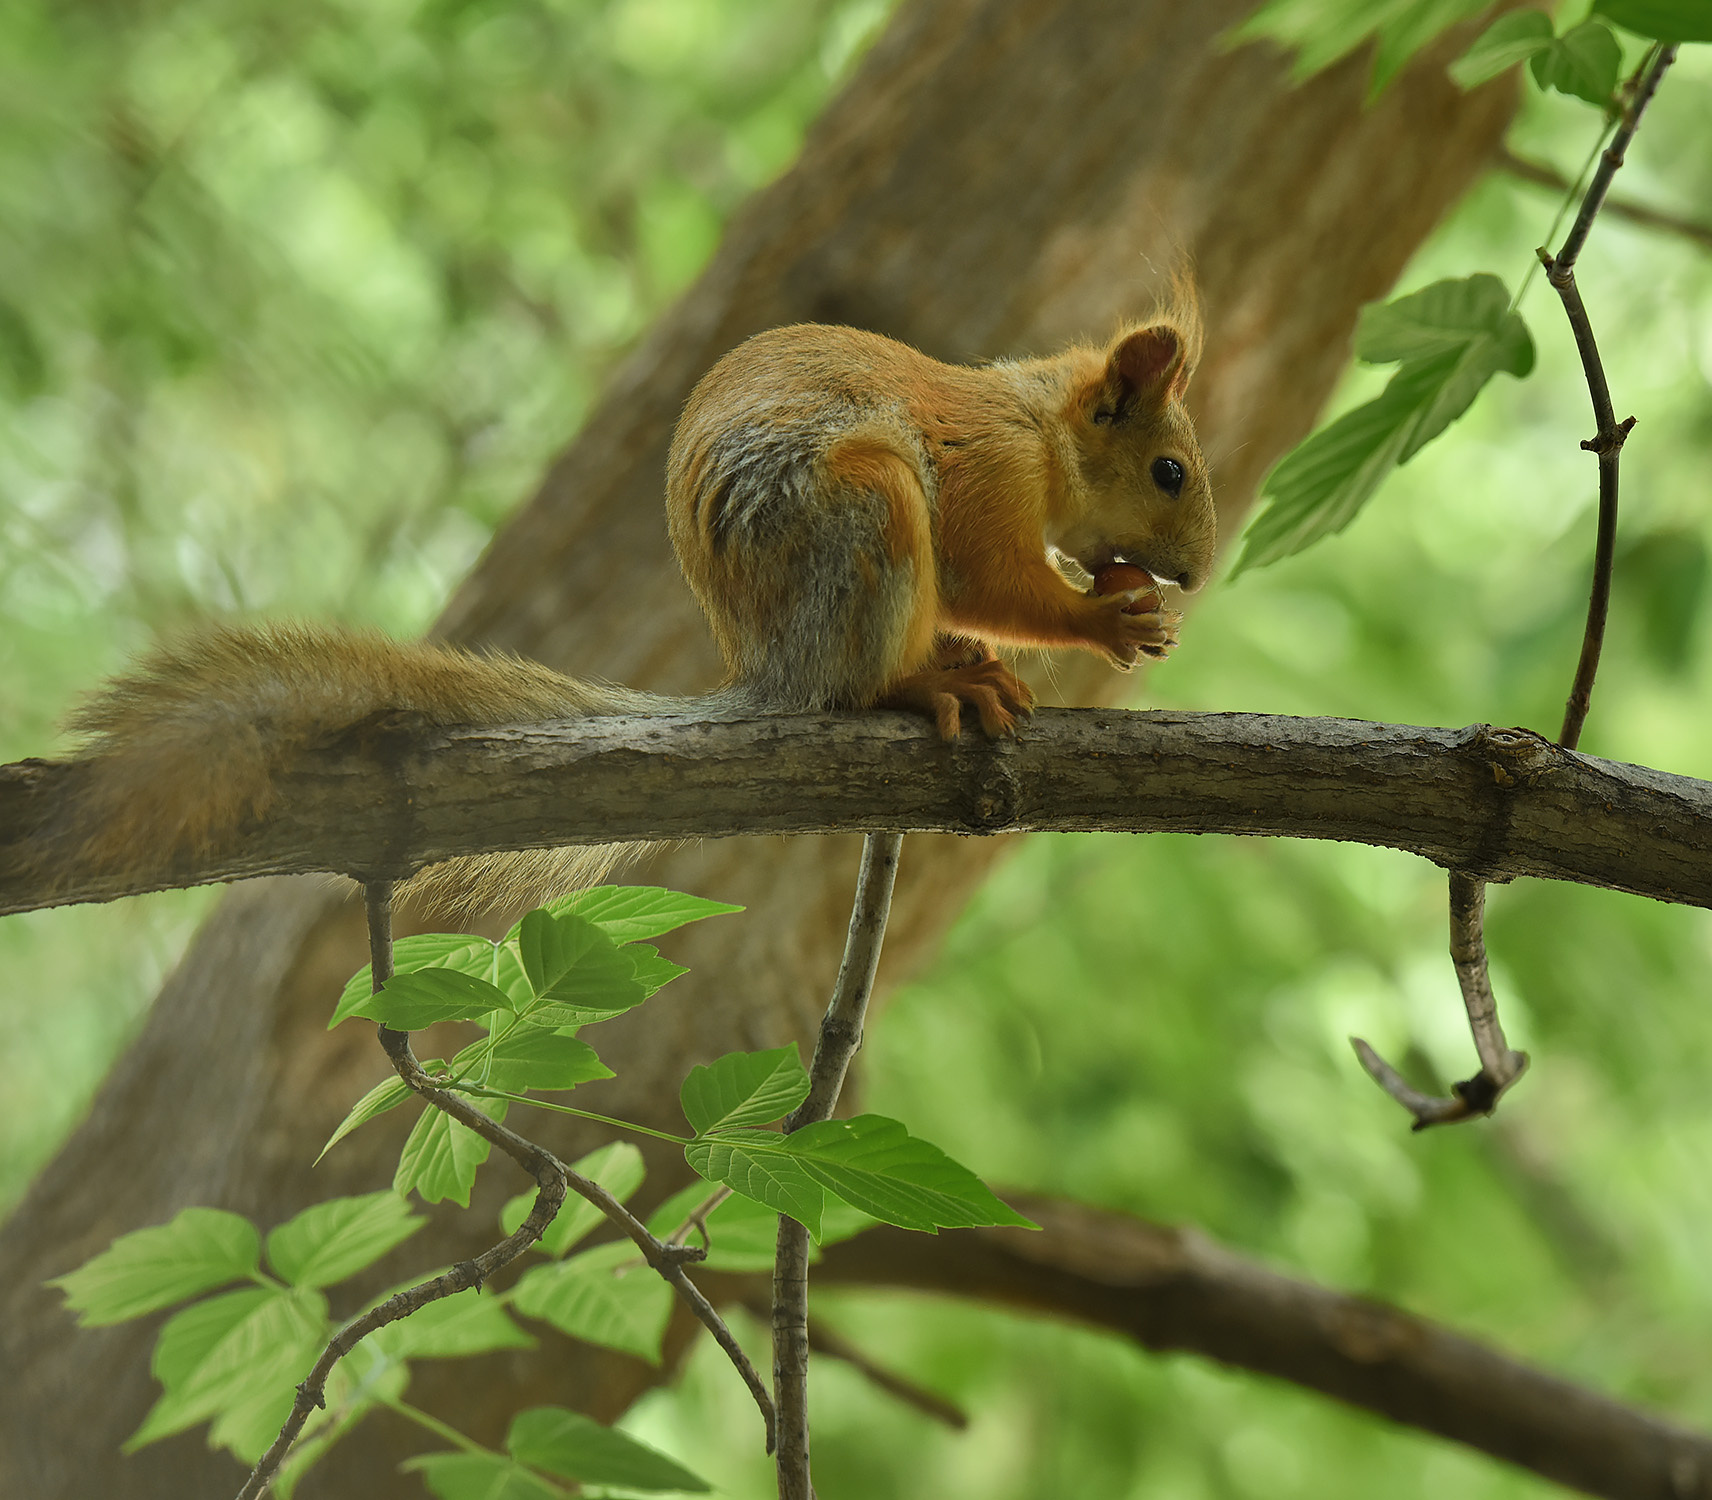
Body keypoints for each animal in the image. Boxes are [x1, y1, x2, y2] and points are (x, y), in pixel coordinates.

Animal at [46, 302, 1216, 914]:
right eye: (1167, 471)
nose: (1195, 575)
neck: (1040, 428)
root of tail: (773, 668)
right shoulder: (983, 476)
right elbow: (991, 575)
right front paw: (1103, 618)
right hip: (869, 508)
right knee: (859, 681)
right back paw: (927, 677)